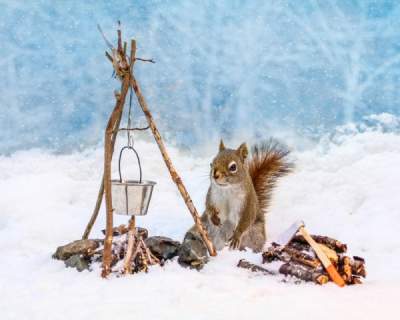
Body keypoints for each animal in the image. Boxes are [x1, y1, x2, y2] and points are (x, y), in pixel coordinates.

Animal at [179, 139, 294, 268]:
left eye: (233, 167)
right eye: (212, 162)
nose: (215, 175)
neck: (227, 188)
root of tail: (219, 246)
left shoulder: (248, 203)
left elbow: (245, 220)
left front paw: (236, 236)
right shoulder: (212, 195)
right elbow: (208, 207)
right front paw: (214, 217)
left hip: (256, 235)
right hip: (203, 227)